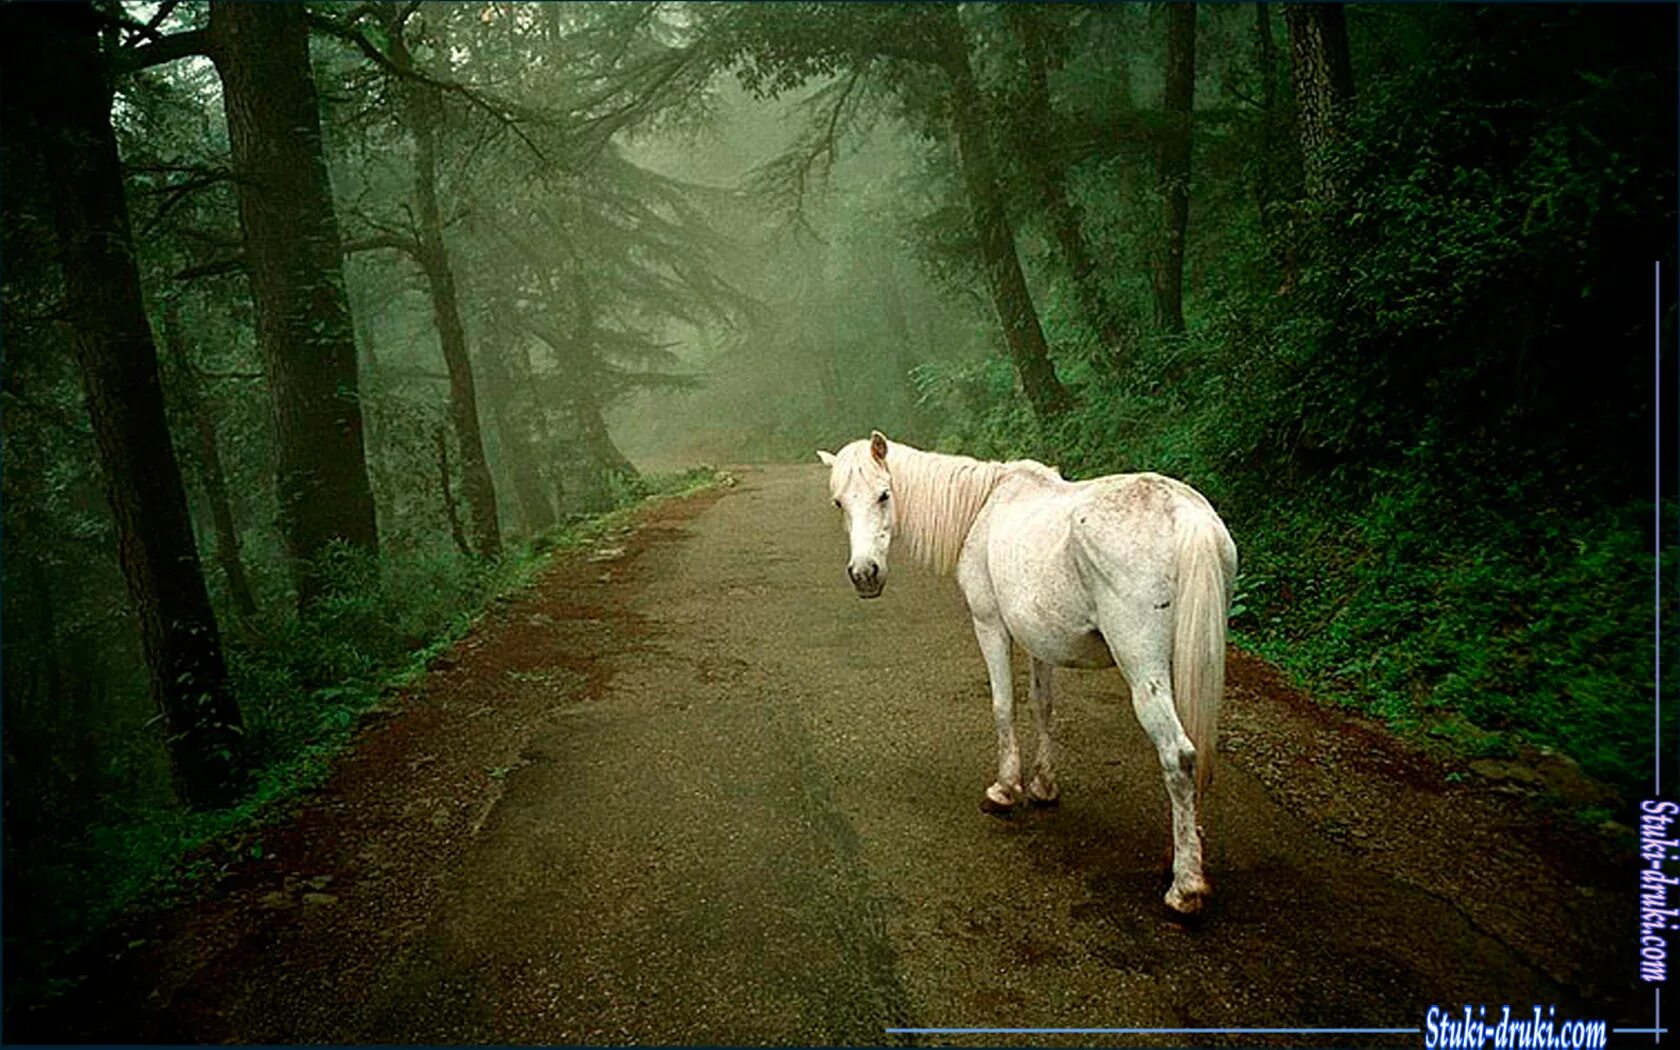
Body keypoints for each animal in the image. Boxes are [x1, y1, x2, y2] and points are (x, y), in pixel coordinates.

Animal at [819, 430, 1243, 913]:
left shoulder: (990, 625)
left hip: (1144, 670)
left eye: (884, 494)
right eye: (839, 502)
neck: (983, 507)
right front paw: (1043, 786)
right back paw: (1182, 851)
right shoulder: (1041, 638)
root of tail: (1185, 514)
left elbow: (1004, 705)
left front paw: (1005, 790)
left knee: (1180, 755)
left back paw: (1185, 888)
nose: (864, 575)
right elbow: (1043, 706)